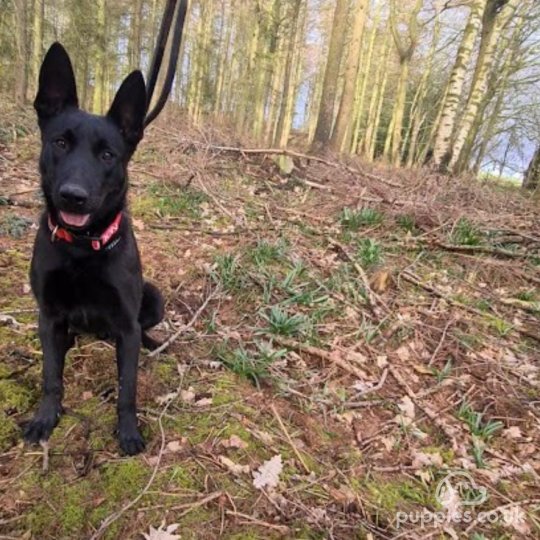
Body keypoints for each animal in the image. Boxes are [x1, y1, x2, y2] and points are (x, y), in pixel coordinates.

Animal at [25, 43, 163, 456]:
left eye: (107, 155)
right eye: (60, 143)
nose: (73, 196)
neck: (82, 250)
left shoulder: (126, 324)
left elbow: (127, 389)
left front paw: (129, 432)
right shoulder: (50, 314)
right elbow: (51, 376)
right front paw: (45, 419)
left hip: (154, 297)